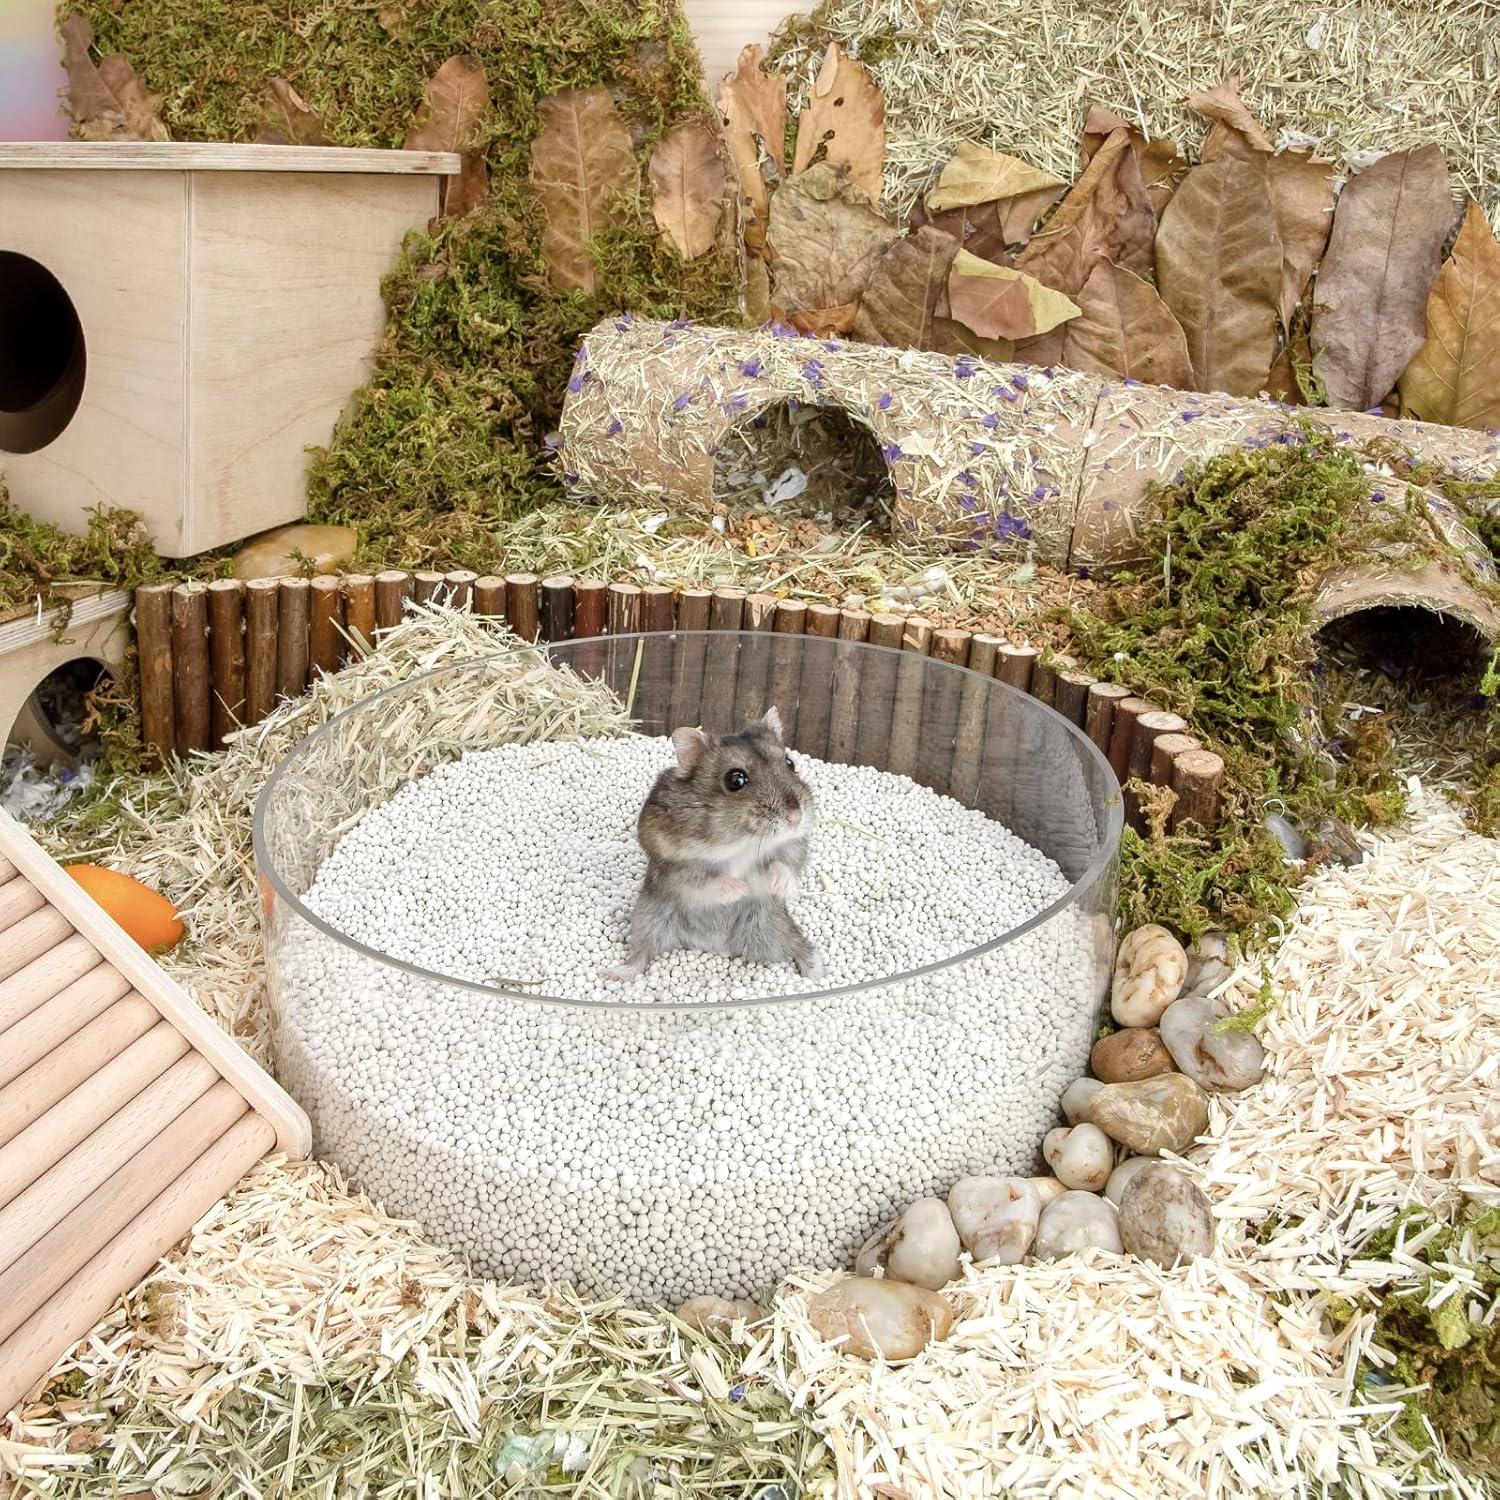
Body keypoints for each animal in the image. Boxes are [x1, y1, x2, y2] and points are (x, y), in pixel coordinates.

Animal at [604, 705, 824, 983]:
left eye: (790, 763)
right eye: (736, 780)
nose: (795, 818)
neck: (744, 840)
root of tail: (716, 944)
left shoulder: (793, 846)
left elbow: (786, 864)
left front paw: (782, 887)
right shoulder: (676, 865)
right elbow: (705, 880)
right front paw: (739, 888)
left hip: (775, 926)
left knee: (799, 946)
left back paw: (818, 972)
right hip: (648, 919)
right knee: (640, 954)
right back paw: (612, 973)